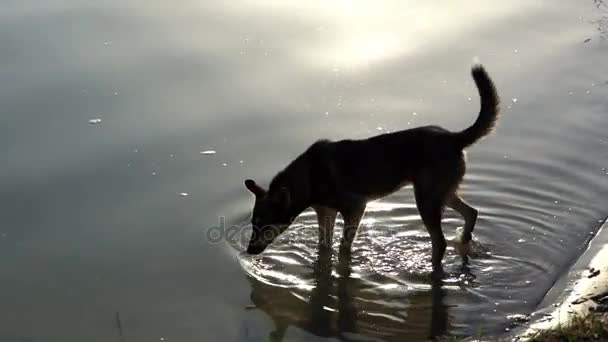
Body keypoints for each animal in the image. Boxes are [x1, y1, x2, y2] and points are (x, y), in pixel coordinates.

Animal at [242, 63, 498, 272]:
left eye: (264, 225)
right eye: (253, 224)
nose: (249, 251)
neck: (310, 175)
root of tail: (454, 138)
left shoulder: (355, 208)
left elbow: (344, 247)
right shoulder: (326, 212)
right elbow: (324, 246)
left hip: (426, 200)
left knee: (441, 241)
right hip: (441, 194)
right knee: (471, 213)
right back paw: (464, 241)